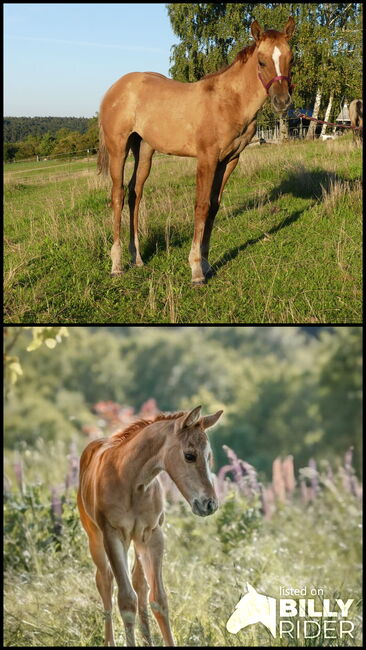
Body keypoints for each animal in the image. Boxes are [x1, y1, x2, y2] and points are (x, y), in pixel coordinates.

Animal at [76, 404, 223, 644]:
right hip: (96, 539)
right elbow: (126, 600)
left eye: (209, 456)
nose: (209, 504)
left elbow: (159, 599)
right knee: (105, 581)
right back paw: (109, 641)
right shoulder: (112, 536)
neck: (130, 481)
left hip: (136, 542)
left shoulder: (152, 535)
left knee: (140, 586)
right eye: (189, 455)